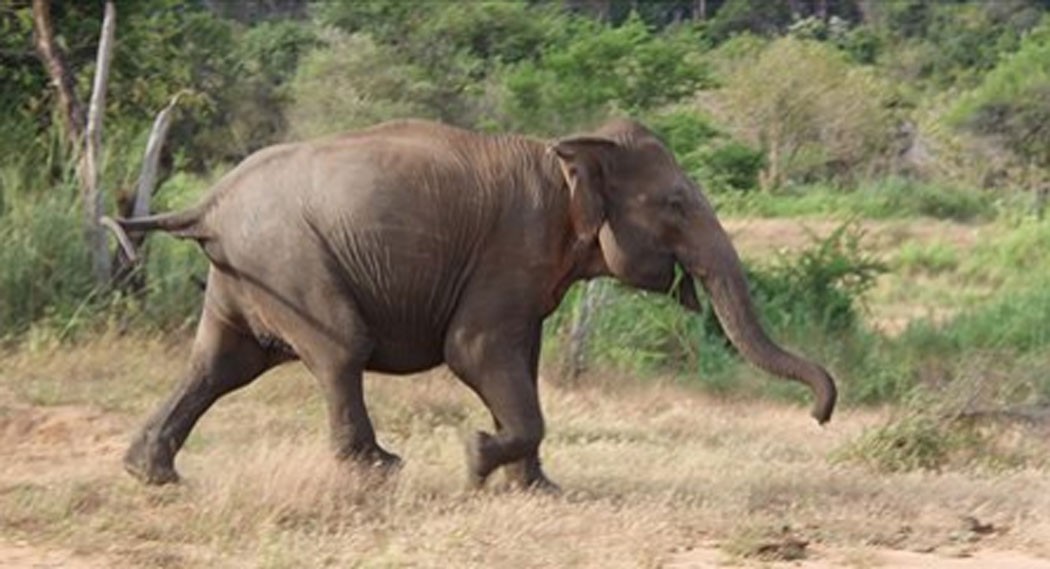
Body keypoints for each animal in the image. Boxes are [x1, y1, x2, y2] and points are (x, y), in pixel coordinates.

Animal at [107, 118, 837, 491]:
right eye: (677, 204)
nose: (820, 415)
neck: (569, 150)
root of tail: (208, 204)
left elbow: (521, 364)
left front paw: (536, 489)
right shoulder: (512, 248)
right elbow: (477, 352)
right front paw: (475, 456)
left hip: (249, 269)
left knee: (220, 364)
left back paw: (152, 474)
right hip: (288, 257)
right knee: (340, 348)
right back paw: (382, 470)